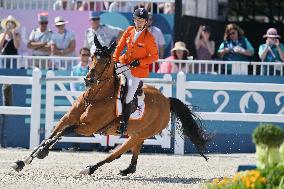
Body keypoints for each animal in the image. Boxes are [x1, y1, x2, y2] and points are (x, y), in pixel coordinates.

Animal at [11, 35, 211, 176]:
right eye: (92, 56)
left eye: (106, 61)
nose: (89, 80)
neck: (94, 97)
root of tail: (167, 100)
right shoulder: (67, 118)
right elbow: (52, 134)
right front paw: (22, 161)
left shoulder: (88, 127)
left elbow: (64, 132)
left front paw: (43, 152)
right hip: (136, 134)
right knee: (133, 152)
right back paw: (127, 170)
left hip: (139, 134)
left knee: (114, 154)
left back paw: (89, 169)